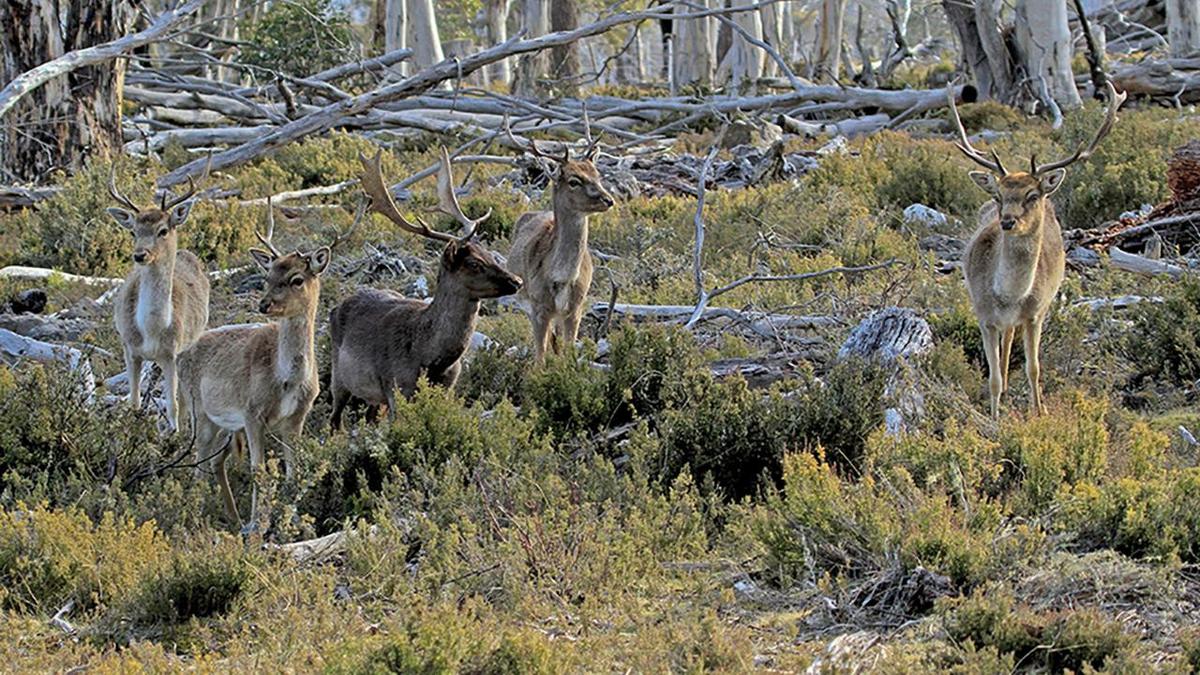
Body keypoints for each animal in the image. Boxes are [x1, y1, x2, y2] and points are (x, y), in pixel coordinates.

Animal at [107, 171, 209, 433]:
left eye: (163, 230)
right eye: (133, 231)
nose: (140, 255)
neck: (151, 331)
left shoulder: (170, 353)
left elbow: (173, 405)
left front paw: (174, 434)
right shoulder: (129, 348)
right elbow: (134, 403)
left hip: (189, 346)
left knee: (184, 398)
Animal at [178, 199, 357, 527]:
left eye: (297, 279)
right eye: (267, 277)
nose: (264, 304)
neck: (286, 381)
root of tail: (181, 353)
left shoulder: (296, 417)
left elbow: (293, 469)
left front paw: (292, 520)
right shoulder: (252, 413)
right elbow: (258, 470)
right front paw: (258, 525)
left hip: (225, 425)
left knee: (215, 461)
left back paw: (231, 517)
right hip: (200, 412)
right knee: (198, 463)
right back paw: (199, 517)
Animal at [327, 148, 523, 430]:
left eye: (489, 253)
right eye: (474, 263)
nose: (517, 280)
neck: (431, 358)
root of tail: (336, 307)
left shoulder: (449, 386)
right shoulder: (397, 386)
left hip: (374, 397)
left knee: (369, 416)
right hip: (338, 375)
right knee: (334, 419)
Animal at [504, 122, 614, 362]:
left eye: (597, 175)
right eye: (574, 181)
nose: (609, 200)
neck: (562, 278)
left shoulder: (576, 307)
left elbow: (568, 351)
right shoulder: (538, 306)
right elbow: (540, 356)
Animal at [950, 81, 1126, 418]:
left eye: (1032, 195)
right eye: (999, 195)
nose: (1007, 221)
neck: (1009, 296)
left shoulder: (1036, 314)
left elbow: (1034, 368)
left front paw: (1039, 412)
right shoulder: (983, 314)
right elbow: (992, 377)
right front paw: (994, 417)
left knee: (1012, 342)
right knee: (1005, 346)